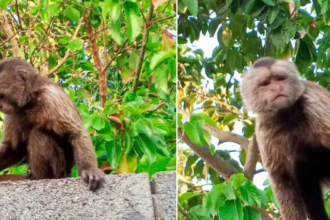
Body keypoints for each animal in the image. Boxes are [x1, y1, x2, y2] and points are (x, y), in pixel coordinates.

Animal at [0, 58, 104, 191]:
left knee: (38, 134)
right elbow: (13, 149)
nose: (0, 106)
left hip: (60, 171)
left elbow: (76, 133)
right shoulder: (12, 112)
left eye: (1, 95)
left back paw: (41, 177)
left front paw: (89, 169)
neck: (30, 101)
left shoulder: (51, 97)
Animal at [240, 57, 330, 220]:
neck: (285, 116)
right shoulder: (263, 130)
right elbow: (282, 178)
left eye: (280, 79)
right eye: (266, 83)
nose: (277, 88)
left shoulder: (313, 102)